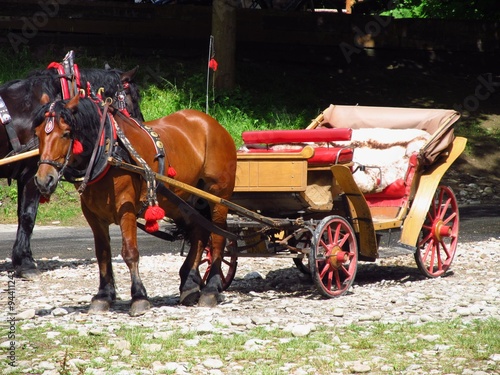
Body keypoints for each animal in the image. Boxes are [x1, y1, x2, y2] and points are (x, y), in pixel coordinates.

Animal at [32, 94, 236, 318]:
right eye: (37, 134)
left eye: (67, 134)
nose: (43, 180)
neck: (109, 151)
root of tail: (212, 123)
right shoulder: (93, 215)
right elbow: (102, 254)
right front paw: (103, 296)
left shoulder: (126, 209)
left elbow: (130, 252)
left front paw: (139, 297)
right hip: (182, 200)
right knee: (199, 232)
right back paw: (189, 284)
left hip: (217, 196)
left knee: (218, 237)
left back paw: (211, 288)